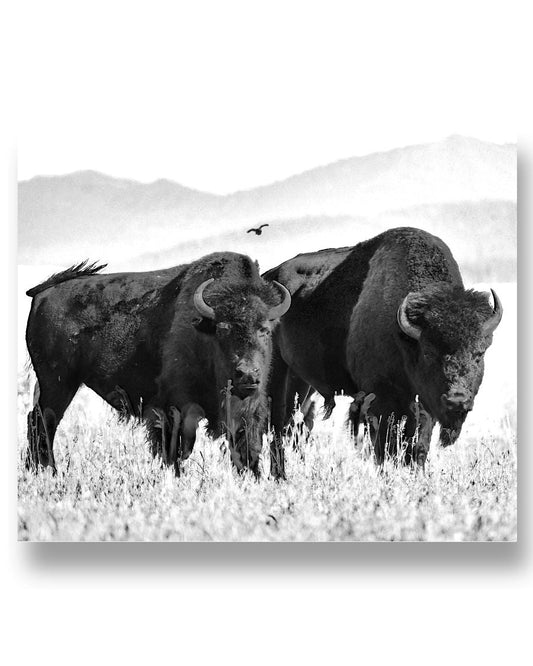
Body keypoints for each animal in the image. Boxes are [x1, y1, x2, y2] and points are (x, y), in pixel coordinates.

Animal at [25, 253, 291, 477]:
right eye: (223, 330)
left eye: (264, 330)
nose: (247, 375)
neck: (203, 331)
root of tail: (43, 293)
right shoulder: (173, 407)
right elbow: (173, 448)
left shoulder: (251, 406)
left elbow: (247, 443)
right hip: (57, 384)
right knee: (44, 422)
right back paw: (49, 472)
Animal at [264, 227, 502, 476]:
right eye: (428, 352)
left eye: (479, 353)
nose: (457, 400)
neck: (405, 338)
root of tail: (268, 277)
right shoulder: (380, 400)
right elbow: (385, 447)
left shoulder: (421, 406)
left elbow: (417, 445)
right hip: (278, 375)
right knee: (278, 426)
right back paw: (279, 475)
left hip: (303, 383)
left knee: (294, 425)